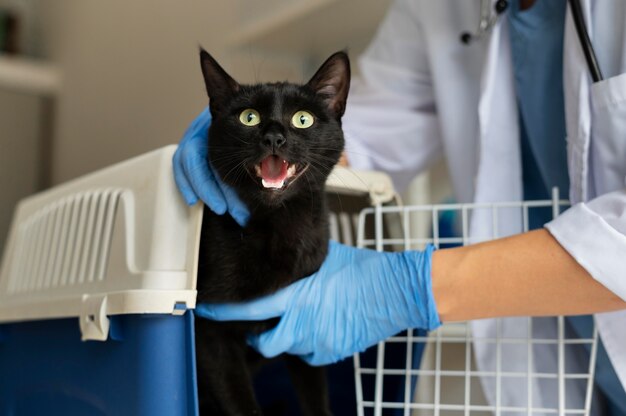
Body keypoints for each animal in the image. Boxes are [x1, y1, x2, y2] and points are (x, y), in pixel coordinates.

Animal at [194, 48, 348, 412]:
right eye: (248, 117)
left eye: (303, 119)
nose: (274, 137)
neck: (279, 226)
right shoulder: (210, 334)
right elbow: (242, 405)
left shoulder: (302, 328)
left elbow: (316, 398)